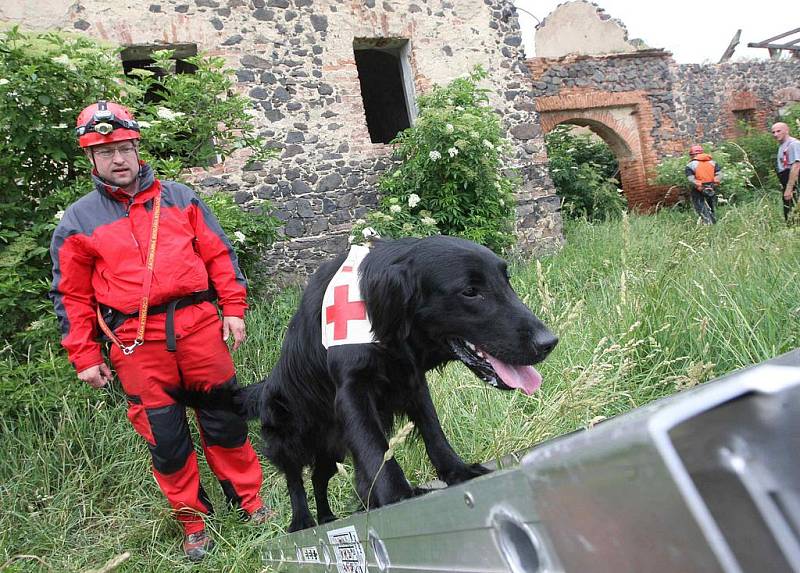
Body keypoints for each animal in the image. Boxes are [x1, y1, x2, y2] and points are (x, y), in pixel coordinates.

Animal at [182, 235, 556, 528]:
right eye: (470, 292)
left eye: (506, 281)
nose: (548, 342)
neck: (375, 307)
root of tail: (264, 387)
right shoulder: (352, 391)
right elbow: (377, 451)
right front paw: (396, 496)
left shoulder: (412, 382)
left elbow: (433, 432)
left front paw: (457, 470)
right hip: (290, 439)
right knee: (295, 480)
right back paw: (302, 521)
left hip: (332, 448)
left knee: (318, 478)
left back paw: (328, 516)